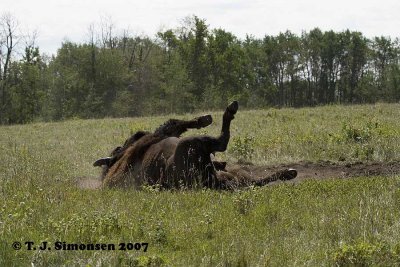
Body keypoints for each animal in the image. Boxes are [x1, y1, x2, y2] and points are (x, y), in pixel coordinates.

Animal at [92, 100, 296, 191]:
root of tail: (213, 183)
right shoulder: (157, 136)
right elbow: (172, 123)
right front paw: (204, 119)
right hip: (193, 144)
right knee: (221, 142)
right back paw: (230, 110)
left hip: (237, 176)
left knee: (256, 181)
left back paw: (288, 173)